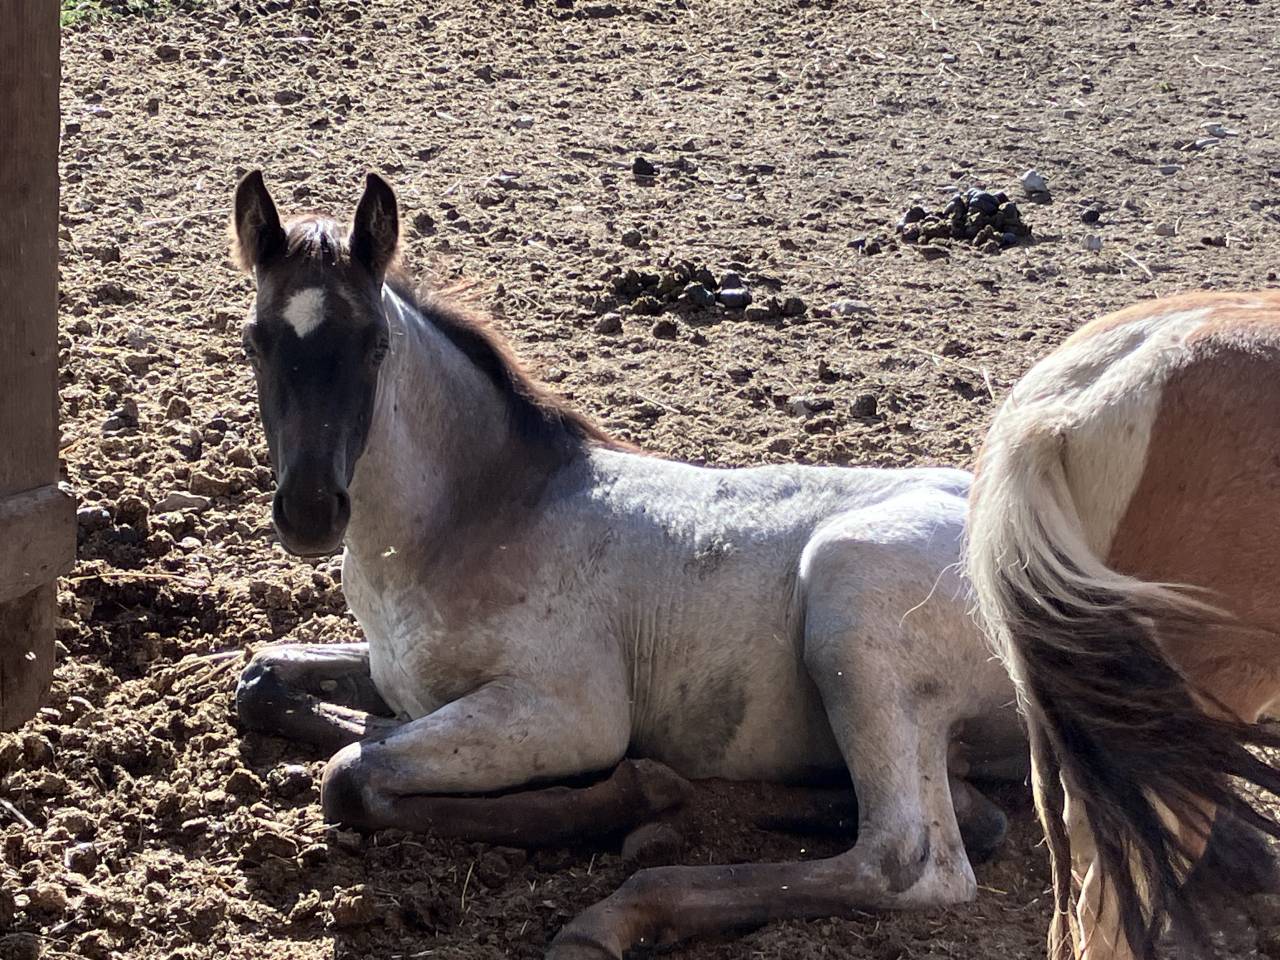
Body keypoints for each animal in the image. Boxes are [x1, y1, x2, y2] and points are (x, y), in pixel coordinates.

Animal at [228, 169, 1027, 958]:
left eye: (375, 344)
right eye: (254, 342)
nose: (309, 509)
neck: (476, 522)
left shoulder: (569, 713)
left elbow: (352, 774)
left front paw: (631, 794)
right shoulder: (396, 673)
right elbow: (264, 679)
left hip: (851, 604)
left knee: (906, 862)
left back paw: (619, 913)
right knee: (968, 814)